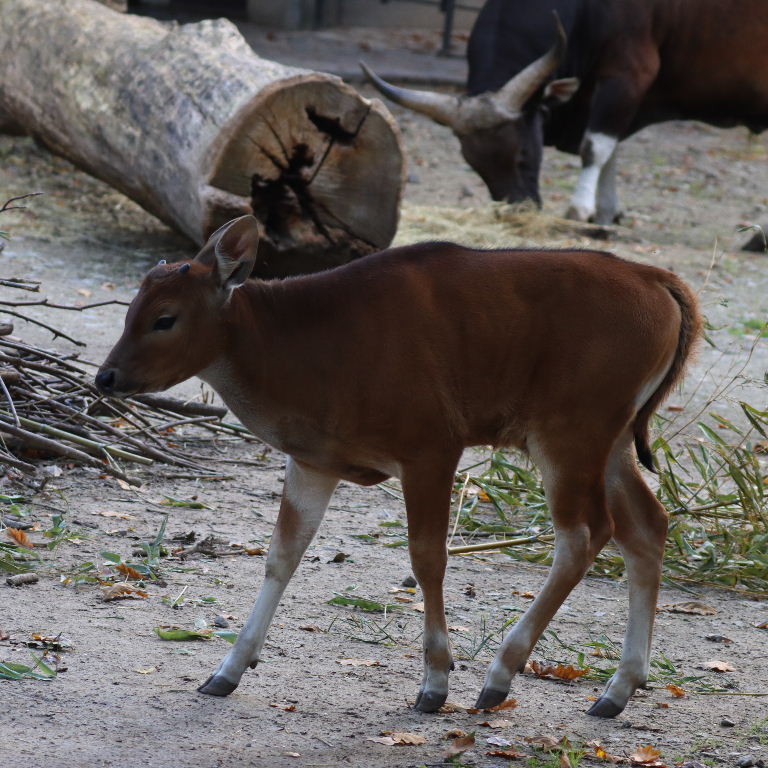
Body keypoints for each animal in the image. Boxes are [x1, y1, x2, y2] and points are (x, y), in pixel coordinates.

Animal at [362, 0, 768, 228]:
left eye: (524, 154)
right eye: (474, 164)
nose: (518, 208)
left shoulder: (627, 75)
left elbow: (596, 146)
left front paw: (580, 208)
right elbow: (612, 149)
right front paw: (606, 211)